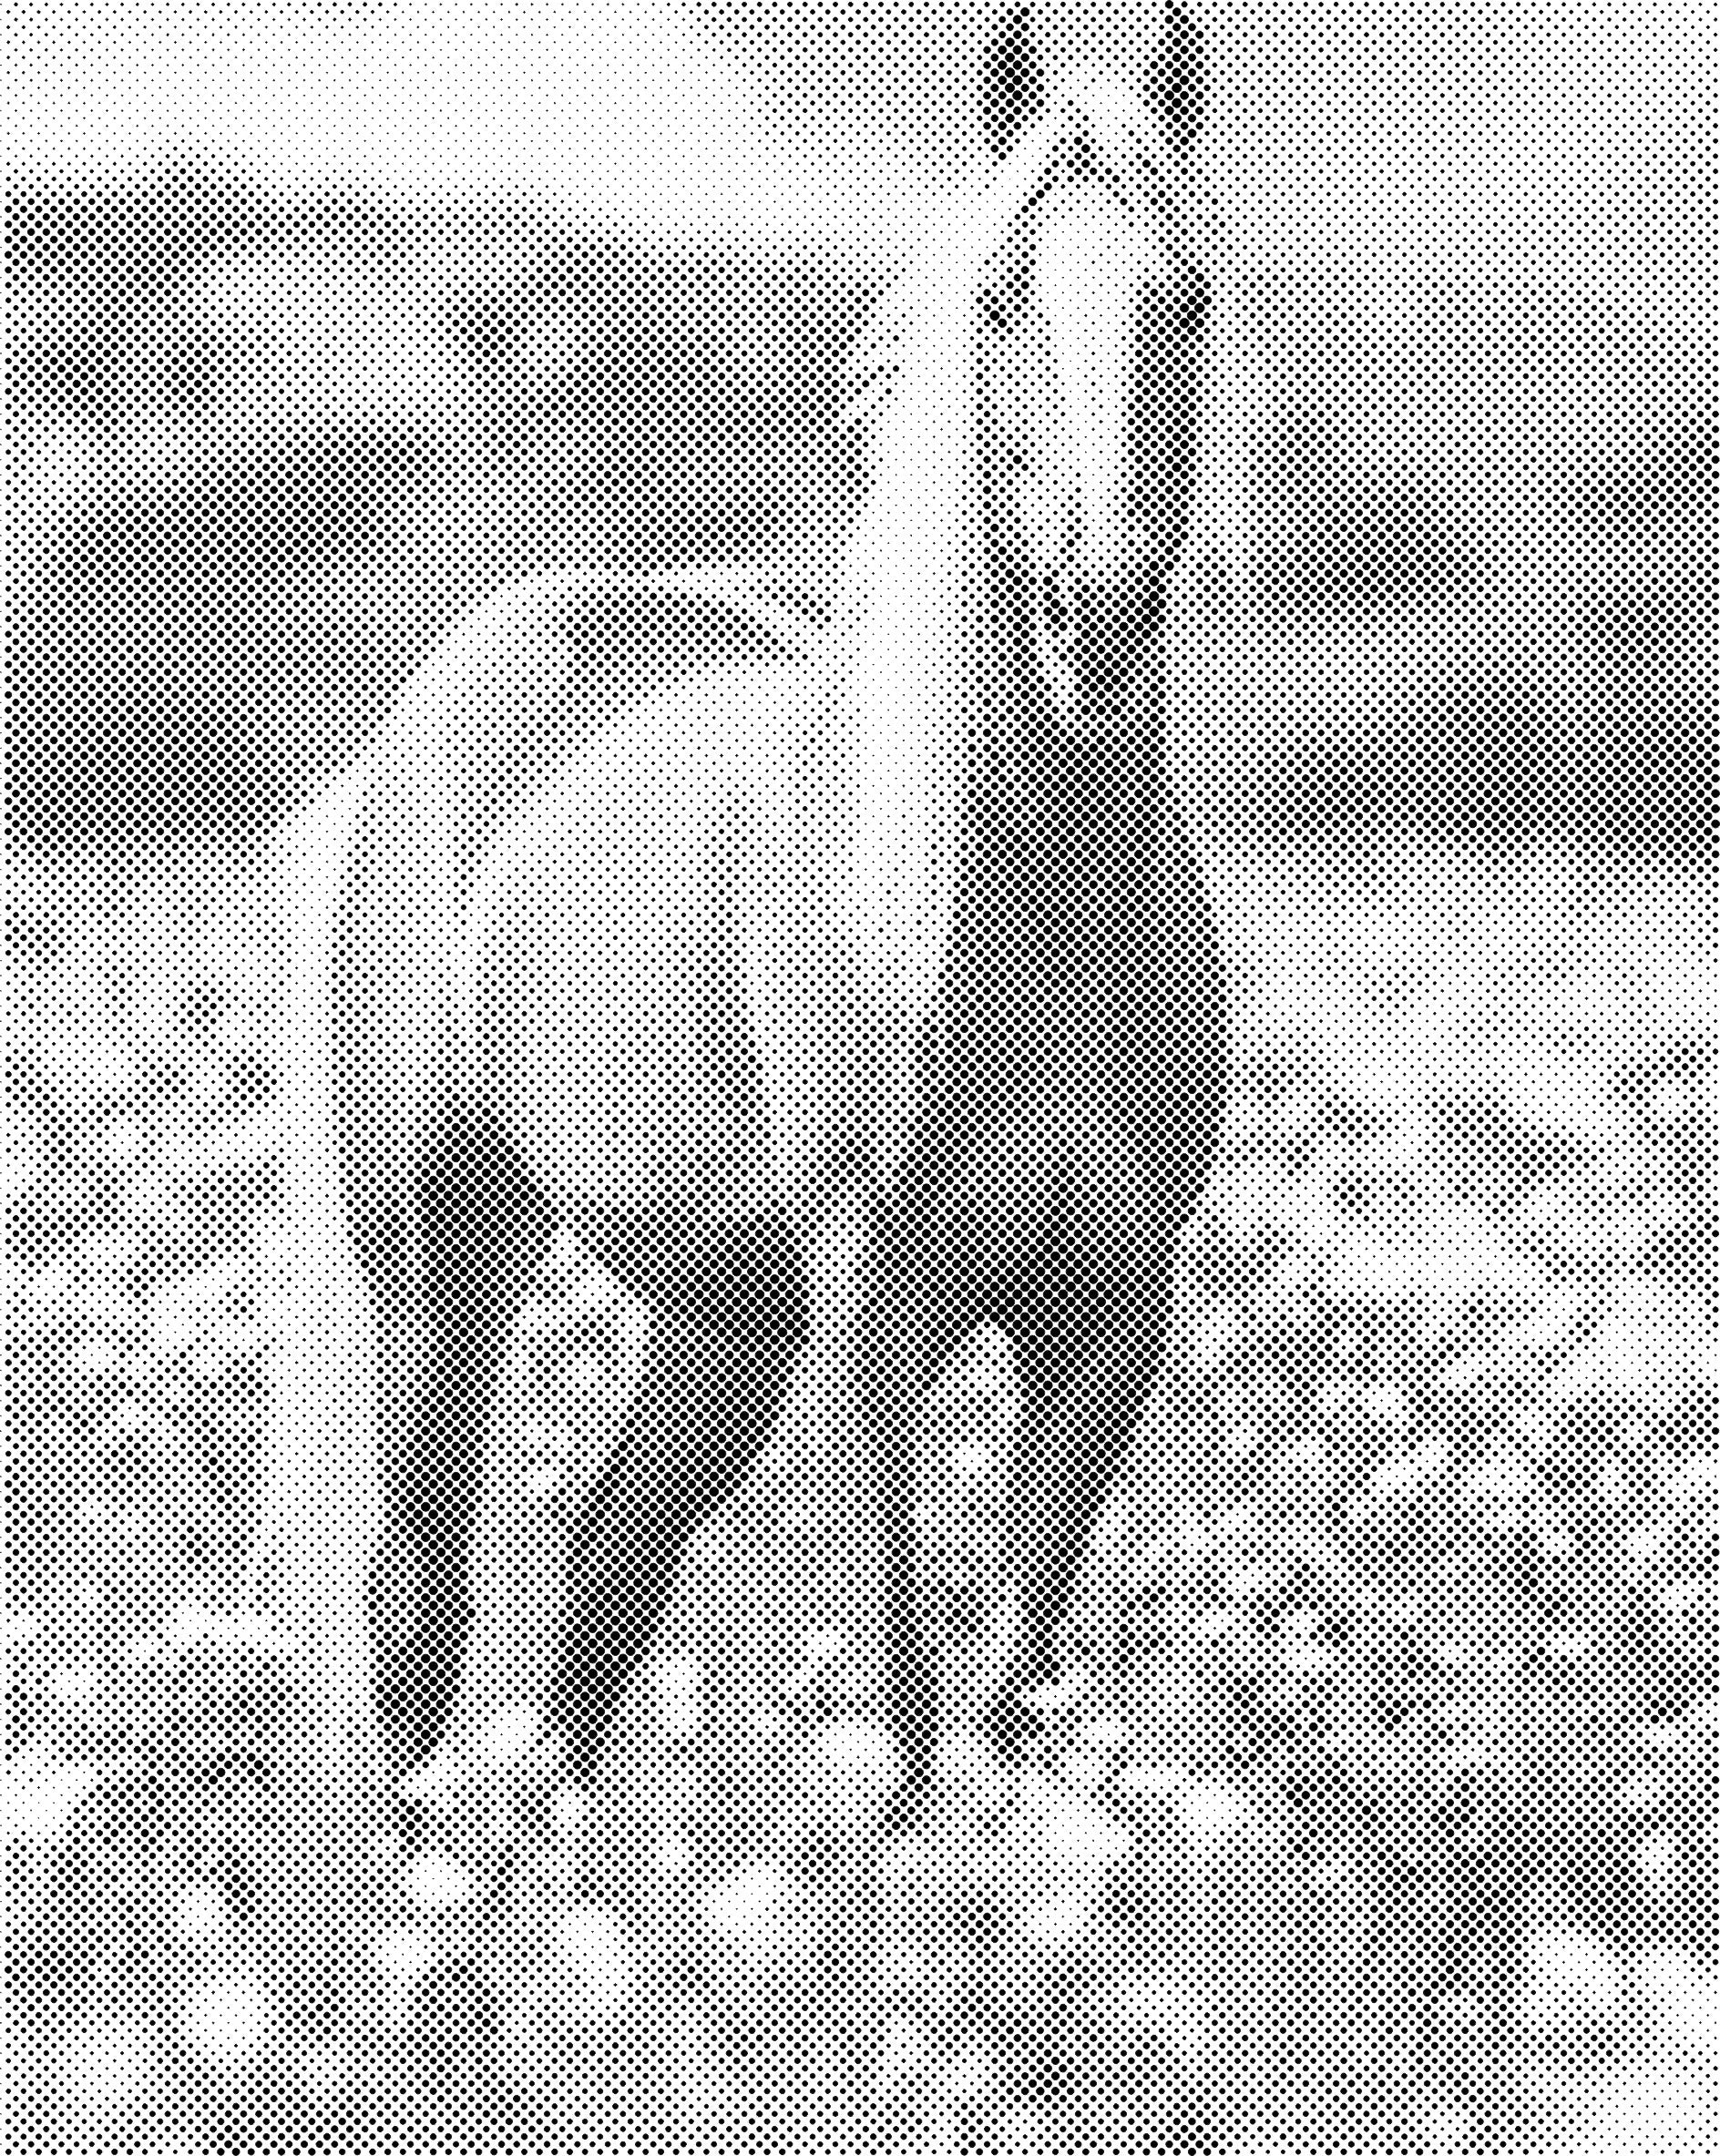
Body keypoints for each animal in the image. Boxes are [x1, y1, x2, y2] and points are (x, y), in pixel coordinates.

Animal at [332, 10, 1227, 1900]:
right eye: (997, 302)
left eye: (1182, 297)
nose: (1099, 608)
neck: (1031, 901)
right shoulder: (869, 1311)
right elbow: (898, 1693)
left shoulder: (1107, 1317)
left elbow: (1015, 1695)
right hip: (444, 1264)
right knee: (421, 1617)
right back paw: (424, 1941)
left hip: (720, 1323)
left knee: (599, 1583)